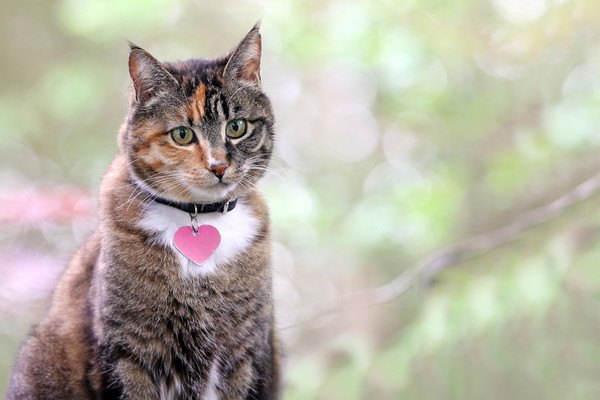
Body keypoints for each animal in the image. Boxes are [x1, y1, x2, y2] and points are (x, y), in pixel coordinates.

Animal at [7, 25, 280, 400]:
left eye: (237, 127)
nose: (218, 166)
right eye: (182, 134)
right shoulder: (126, 353)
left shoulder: (246, 355)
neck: (198, 216)